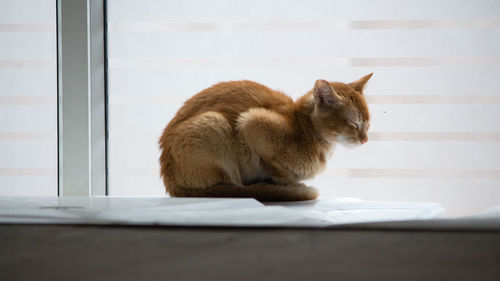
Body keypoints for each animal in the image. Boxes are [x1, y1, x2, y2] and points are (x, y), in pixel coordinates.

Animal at [159, 73, 372, 200]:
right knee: (232, 186)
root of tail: (169, 180)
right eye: (354, 124)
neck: (302, 126)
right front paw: (292, 186)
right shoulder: (252, 121)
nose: (365, 139)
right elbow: (278, 170)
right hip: (215, 123)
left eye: (368, 124)